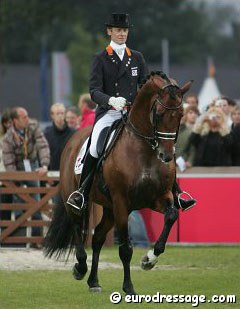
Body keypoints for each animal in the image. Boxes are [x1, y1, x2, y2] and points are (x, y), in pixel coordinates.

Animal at [43, 70, 193, 294]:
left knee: (97, 237)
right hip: (80, 200)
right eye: (158, 113)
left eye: (181, 114)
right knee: (78, 228)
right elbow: (125, 249)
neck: (144, 149)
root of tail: (73, 138)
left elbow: (171, 216)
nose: (166, 156)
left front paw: (149, 260)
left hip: (109, 209)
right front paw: (129, 287)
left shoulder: (158, 197)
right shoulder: (122, 202)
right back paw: (80, 268)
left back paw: (94, 281)